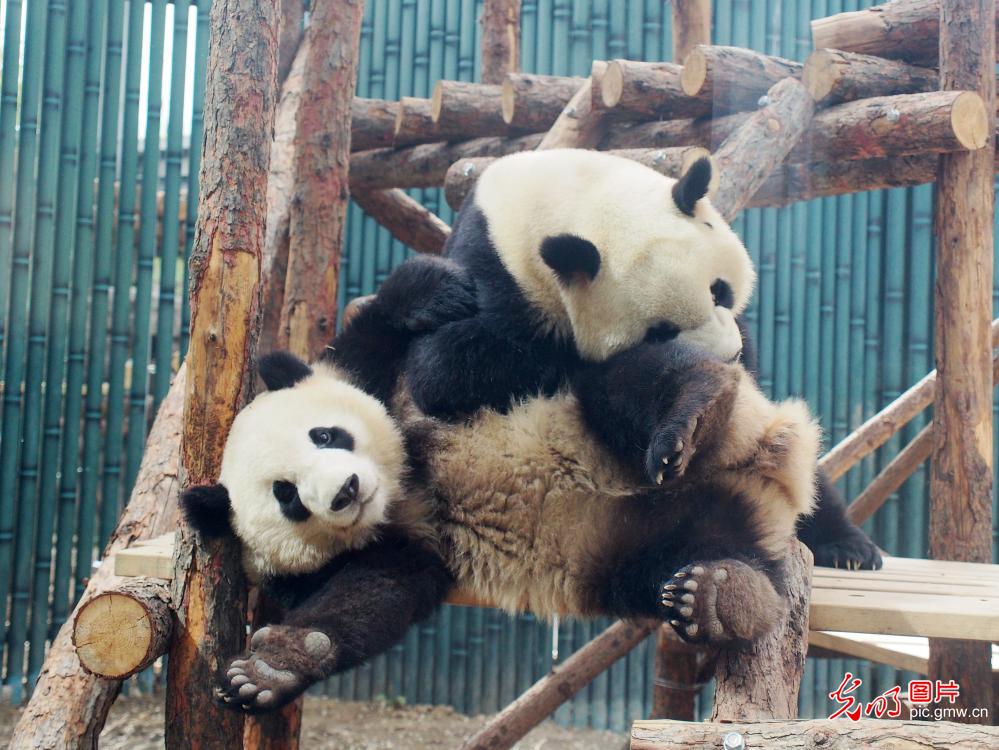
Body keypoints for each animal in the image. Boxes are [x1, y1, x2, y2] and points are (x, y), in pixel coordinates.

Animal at [182, 257, 821, 713]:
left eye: (326, 435)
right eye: (287, 496)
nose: (345, 491)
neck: (406, 488)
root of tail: (773, 474)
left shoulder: (394, 391)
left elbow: (372, 347)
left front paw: (428, 293)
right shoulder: (392, 549)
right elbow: (374, 591)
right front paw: (271, 670)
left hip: (597, 418)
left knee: (620, 386)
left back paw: (697, 412)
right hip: (638, 540)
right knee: (689, 558)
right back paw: (722, 597)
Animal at [399, 149, 880, 570]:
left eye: (718, 290)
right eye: (659, 330)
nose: (728, 357)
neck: (574, 197)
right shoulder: (490, 269)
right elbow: (442, 368)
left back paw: (846, 546)